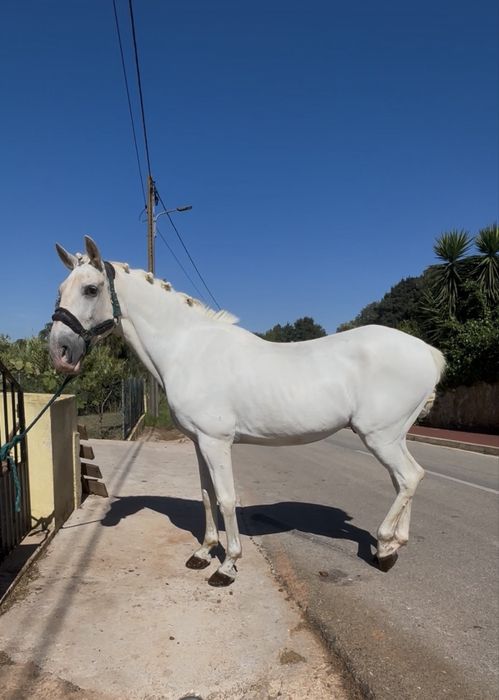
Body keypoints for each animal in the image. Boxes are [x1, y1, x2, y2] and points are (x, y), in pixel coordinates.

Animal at [49, 236, 446, 586]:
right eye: (61, 288)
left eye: (90, 289)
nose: (60, 351)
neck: (187, 348)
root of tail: (427, 352)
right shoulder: (199, 443)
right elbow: (206, 494)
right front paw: (203, 552)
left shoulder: (216, 442)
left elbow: (226, 499)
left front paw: (227, 566)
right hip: (393, 437)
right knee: (405, 480)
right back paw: (390, 546)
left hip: (380, 436)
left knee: (409, 477)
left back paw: (385, 548)